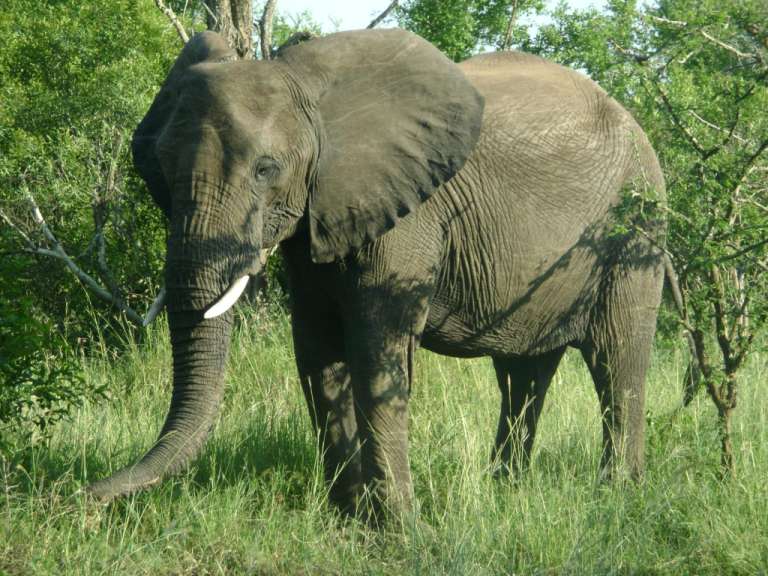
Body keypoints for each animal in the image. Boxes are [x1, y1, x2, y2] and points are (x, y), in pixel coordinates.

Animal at [87, 28, 666, 518]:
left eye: (266, 170)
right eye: (160, 171)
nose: (85, 495)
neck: (314, 93)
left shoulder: (407, 215)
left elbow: (373, 351)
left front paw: (397, 528)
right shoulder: (317, 216)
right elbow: (316, 350)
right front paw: (350, 520)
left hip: (635, 225)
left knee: (618, 358)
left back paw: (619, 496)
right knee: (523, 374)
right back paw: (507, 489)